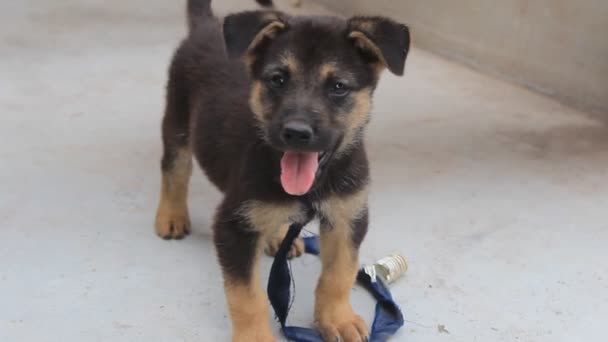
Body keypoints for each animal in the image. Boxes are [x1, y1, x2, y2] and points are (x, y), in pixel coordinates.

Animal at [154, 0, 410, 342]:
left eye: (338, 87)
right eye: (278, 79)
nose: (296, 132)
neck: (314, 186)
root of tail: (207, 25)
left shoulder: (347, 215)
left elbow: (339, 274)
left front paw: (337, 318)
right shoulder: (234, 226)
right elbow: (247, 296)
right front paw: (255, 336)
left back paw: (277, 237)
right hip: (178, 122)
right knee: (174, 170)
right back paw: (171, 215)